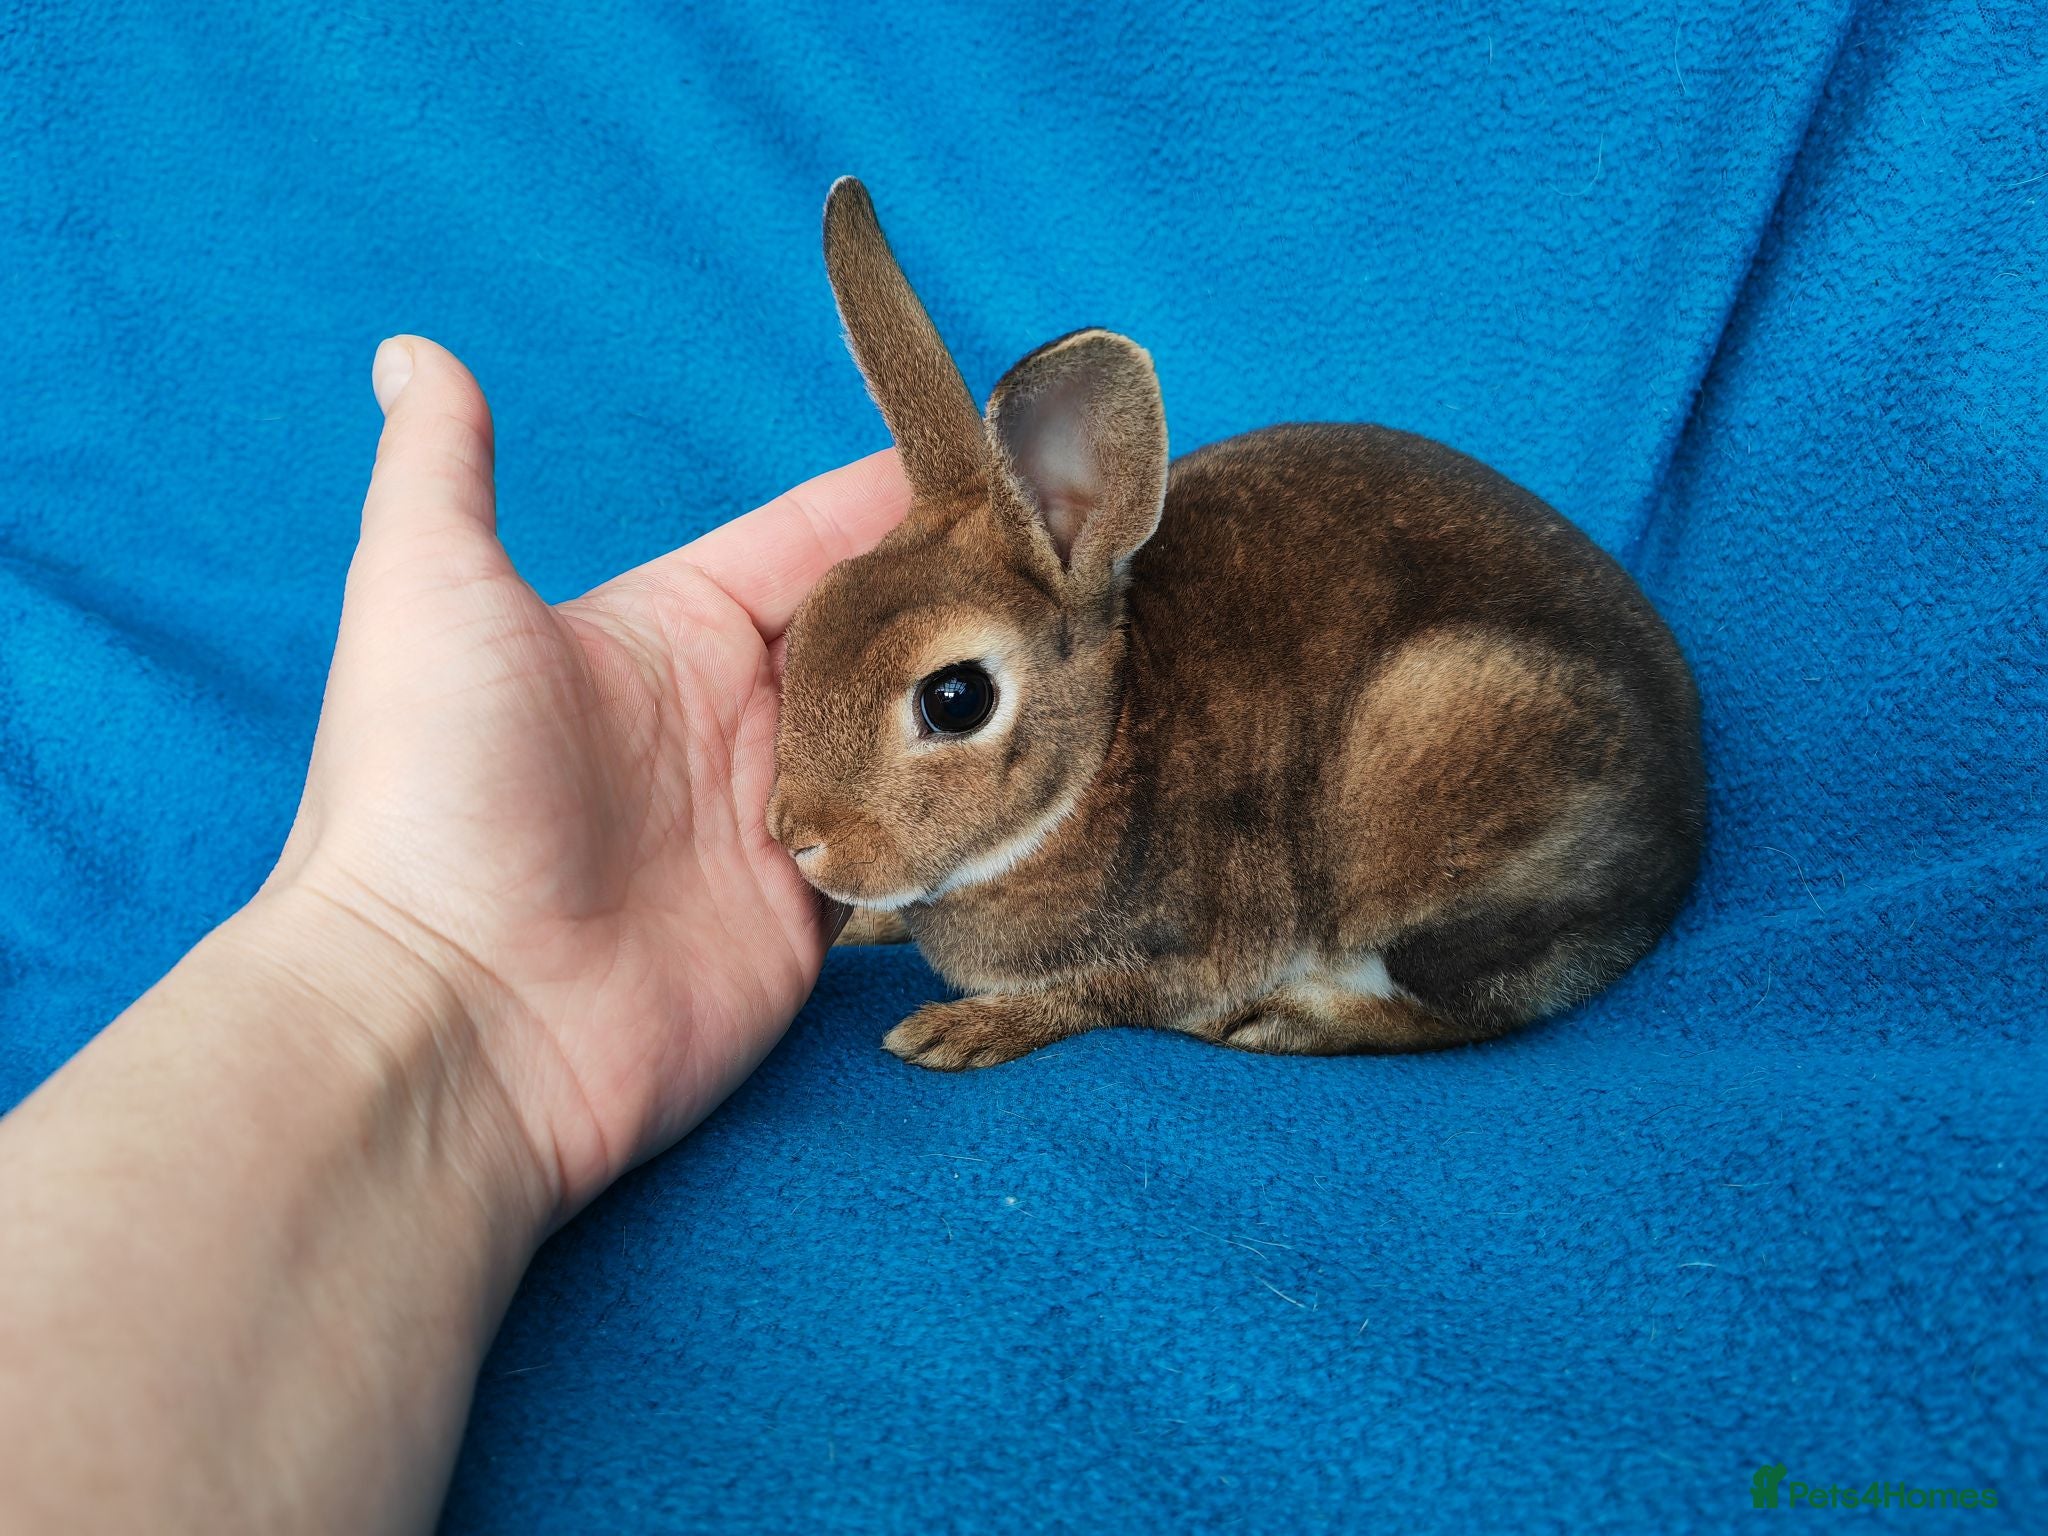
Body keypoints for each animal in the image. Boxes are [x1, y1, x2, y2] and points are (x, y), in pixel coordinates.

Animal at [767, 178, 1705, 1071]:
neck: (1099, 752)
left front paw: (958, 1030)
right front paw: (863, 930)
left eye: (956, 699)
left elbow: (1095, 1000)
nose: (794, 836)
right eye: (809, 619)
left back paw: (1280, 1019)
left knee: (1459, 1010)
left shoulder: (1179, 956)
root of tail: (1685, 831)